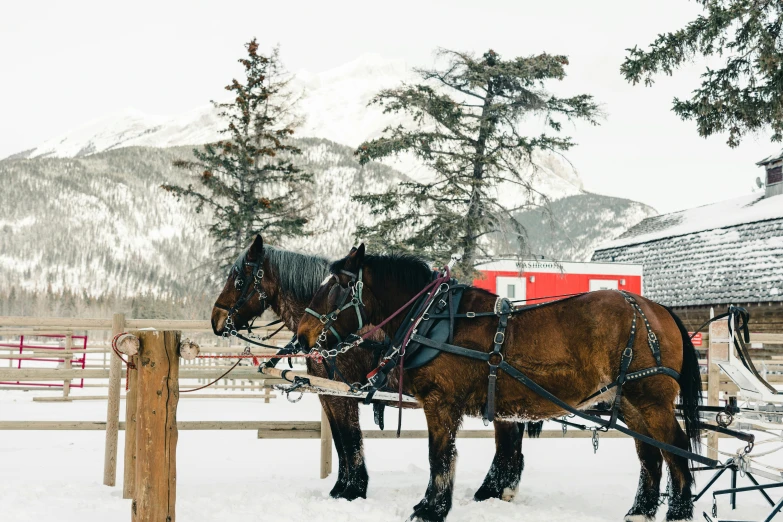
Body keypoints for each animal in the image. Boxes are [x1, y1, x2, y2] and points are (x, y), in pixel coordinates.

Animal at [211, 235, 544, 500]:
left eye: (238, 281)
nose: (216, 320)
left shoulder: (341, 394)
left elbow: (350, 441)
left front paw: (352, 490)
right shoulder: (329, 395)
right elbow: (342, 443)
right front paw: (341, 487)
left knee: (509, 443)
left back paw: (491, 491)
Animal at [298, 244, 700, 520]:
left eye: (338, 286)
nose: (303, 337)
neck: (433, 319)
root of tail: (656, 310)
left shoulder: (440, 402)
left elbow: (439, 457)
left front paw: (430, 509)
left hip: (650, 399)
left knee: (676, 449)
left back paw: (678, 512)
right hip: (630, 403)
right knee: (650, 456)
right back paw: (640, 511)